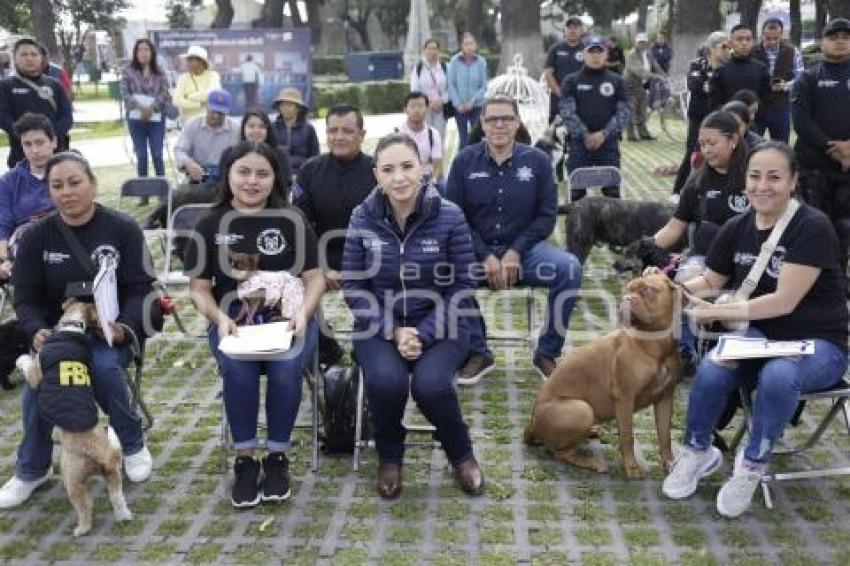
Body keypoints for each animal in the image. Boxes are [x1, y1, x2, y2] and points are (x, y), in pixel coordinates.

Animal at [15, 302, 131, 536]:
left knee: (85, 506)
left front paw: (21, 359)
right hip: (113, 476)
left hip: (73, 479)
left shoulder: (36, 374)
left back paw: (81, 529)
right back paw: (123, 516)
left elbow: (28, 365)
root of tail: (103, 455)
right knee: (117, 498)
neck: (72, 328)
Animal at [524, 274, 684, 480]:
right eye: (627, 290)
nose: (626, 299)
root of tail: (532, 424)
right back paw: (590, 462)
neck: (655, 344)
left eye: (647, 290)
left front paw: (670, 465)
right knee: (560, 452)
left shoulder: (665, 398)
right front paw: (631, 467)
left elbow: (665, 435)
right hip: (582, 409)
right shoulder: (625, 398)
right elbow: (627, 435)